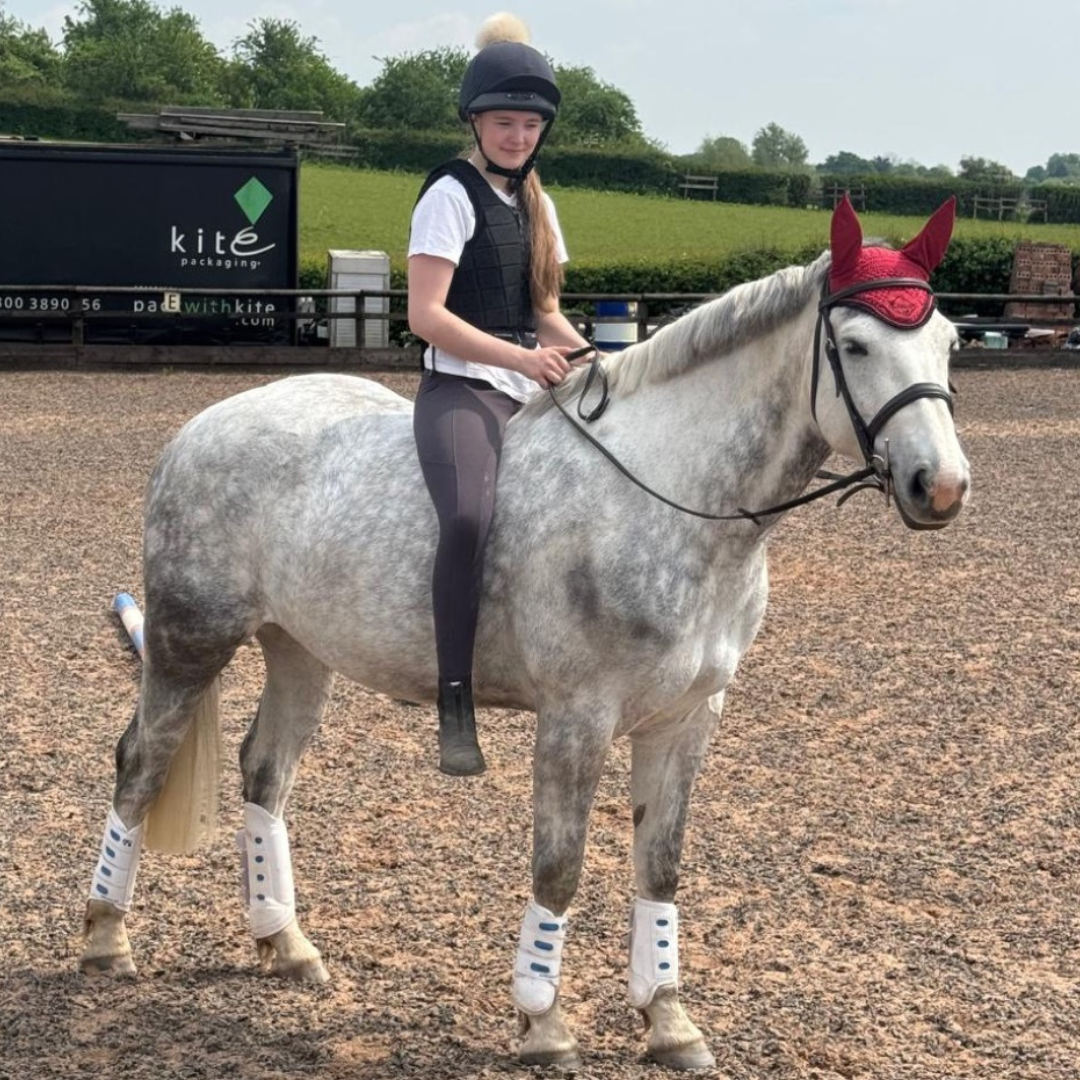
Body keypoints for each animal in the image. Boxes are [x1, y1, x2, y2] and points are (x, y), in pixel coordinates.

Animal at [81, 197, 970, 1070]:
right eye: (853, 345)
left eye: (949, 342)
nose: (942, 487)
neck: (672, 500)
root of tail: (201, 426)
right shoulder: (578, 718)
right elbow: (560, 867)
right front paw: (543, 1021)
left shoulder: (688, 717)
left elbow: (661, 865)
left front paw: (668, 1019)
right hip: (190, 639)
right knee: (141, 764)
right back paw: (105, 939)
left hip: (299, 650)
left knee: (265, 774)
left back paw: (286, 945)